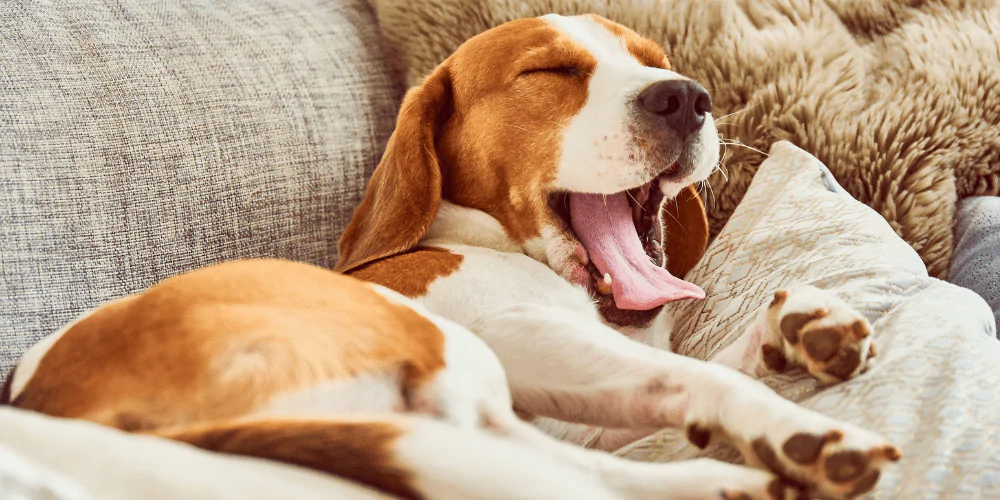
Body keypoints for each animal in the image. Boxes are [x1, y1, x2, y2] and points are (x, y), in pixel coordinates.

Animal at [1, 13, 900, 498]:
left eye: (653, 62)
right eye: (549, 71)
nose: (685, 96)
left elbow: (676, 386)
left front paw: (794, 333)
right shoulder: (519, 336)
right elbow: (695, 378)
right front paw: (786, 417)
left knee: (574, 479)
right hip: (448, 354)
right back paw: (786, 454)